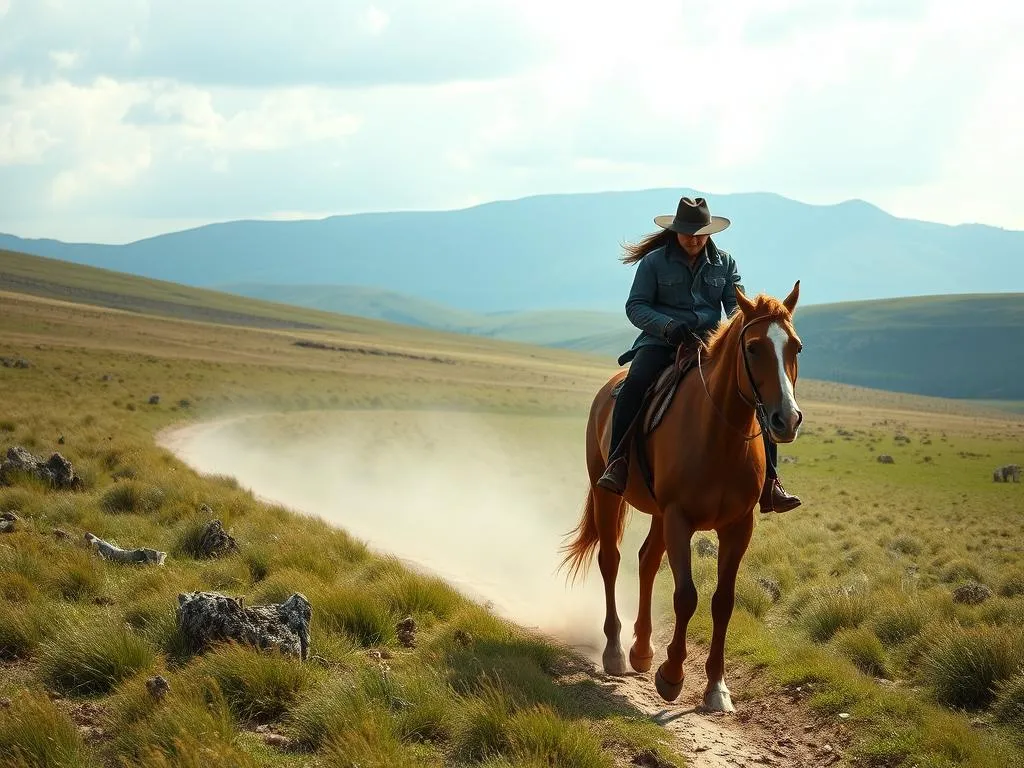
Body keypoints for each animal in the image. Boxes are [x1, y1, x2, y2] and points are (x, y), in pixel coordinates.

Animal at [561, 280, 806, 708]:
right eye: (754, 347)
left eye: (796, 347)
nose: (786, 419)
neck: (720, 438)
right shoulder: (679, 518)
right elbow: (686, 596)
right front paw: (672, 676)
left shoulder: (738, 527)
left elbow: (723, 601)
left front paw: (717, 687)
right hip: (608, 494)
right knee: (611, 560)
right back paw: (615, 650)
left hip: (658, 513)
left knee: (645, 561)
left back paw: (642, 650)